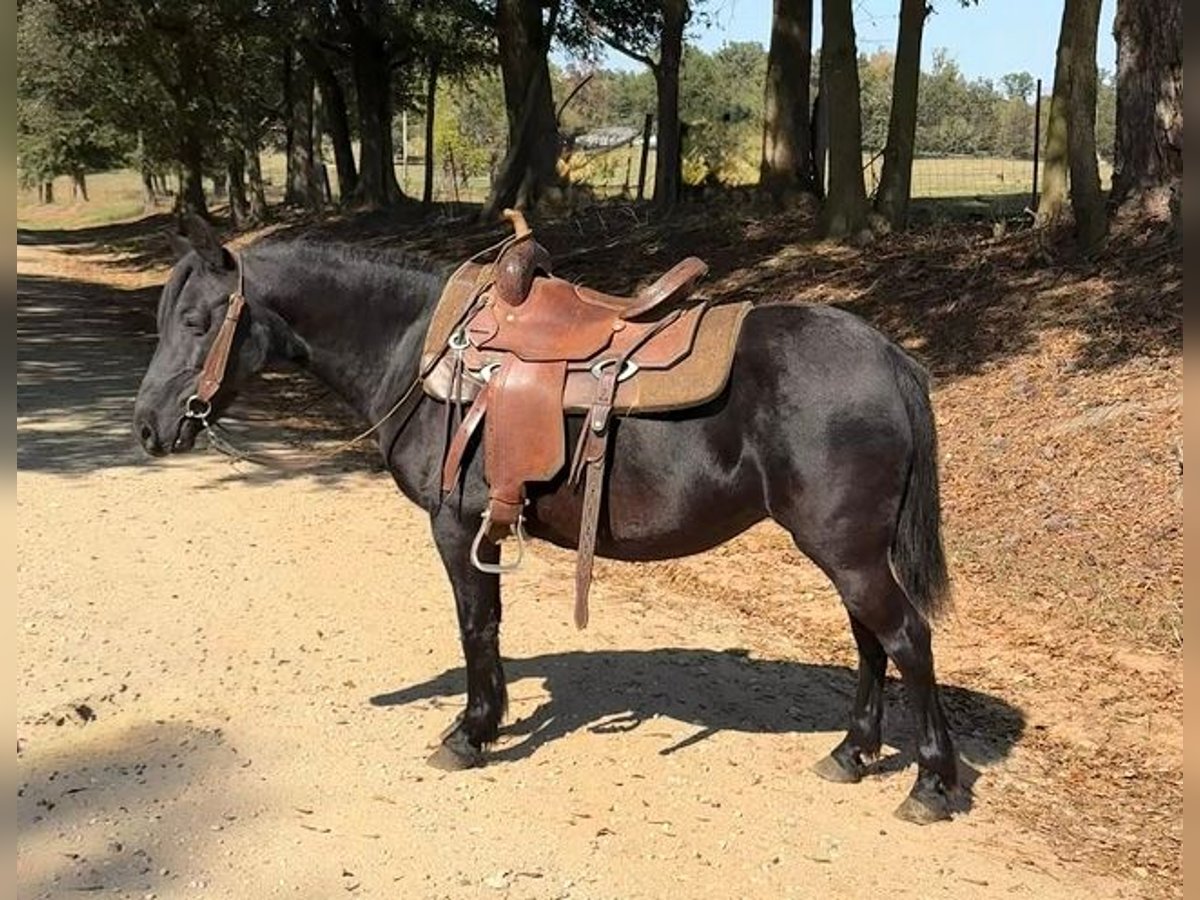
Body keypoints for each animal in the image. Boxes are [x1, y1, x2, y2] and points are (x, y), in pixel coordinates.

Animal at [132, 217, 960, 824]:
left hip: (848, 548)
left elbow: (474, 626)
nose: (146, 428)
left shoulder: (454, 526)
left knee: (905, 639)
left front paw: (469, 733)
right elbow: (491, 626)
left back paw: (932, 784)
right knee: (870, 642)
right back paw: (852, 753)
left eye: (200, 321)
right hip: (845, 549)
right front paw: (487, 721)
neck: (419, 351)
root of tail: (891, 358)